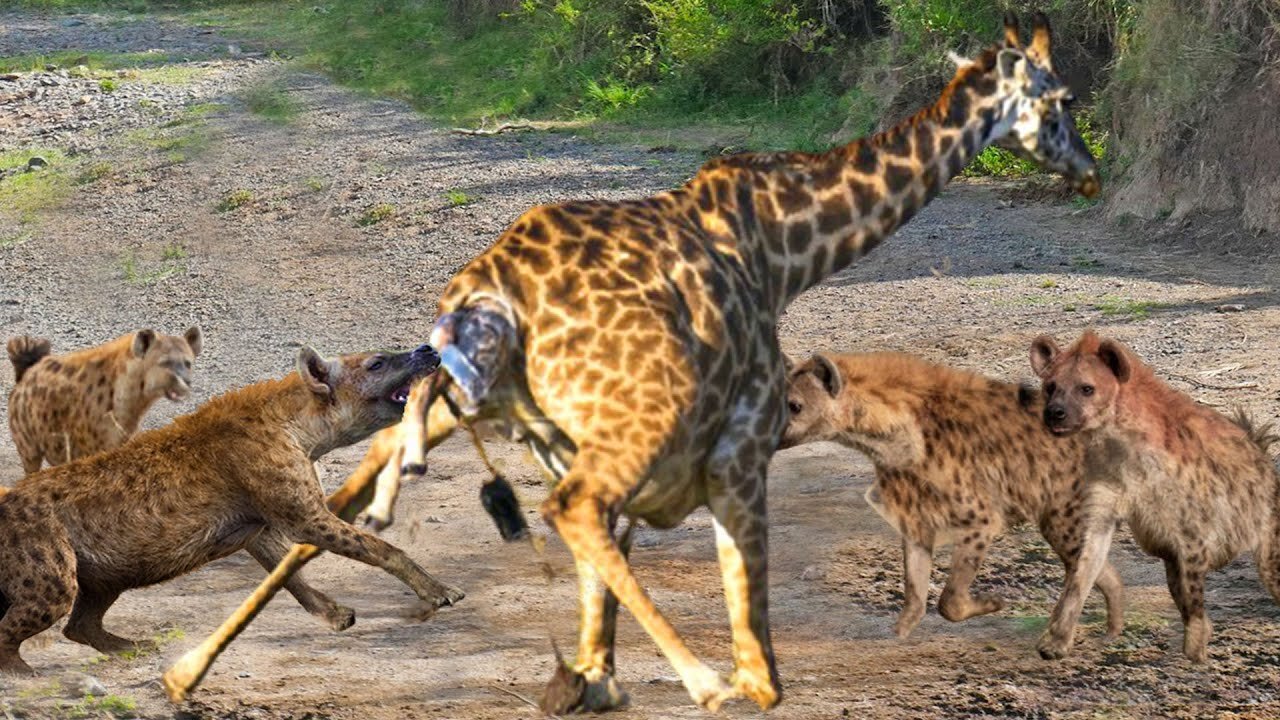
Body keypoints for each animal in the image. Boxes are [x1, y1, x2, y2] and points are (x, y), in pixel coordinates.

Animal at [778, 351, 1121, 635]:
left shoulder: (980, 515)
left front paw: (993, 601)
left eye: (795, 406)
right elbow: (914, 580)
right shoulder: (913, 512)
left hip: (1063, 513)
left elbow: (950, 601)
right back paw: (1107, 628)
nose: (771, 436)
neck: (894, 433)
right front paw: (903, 629)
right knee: (1100, 570)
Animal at [1029, 327, 1280, 661]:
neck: (1120, 446)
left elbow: (1194, 595)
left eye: (1086, 389)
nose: (1055, 413)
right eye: (1051, 387)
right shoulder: (1103, 507)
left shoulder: (1193, 526)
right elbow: (1082, 571)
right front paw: (1055, 642)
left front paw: (1196, 655)